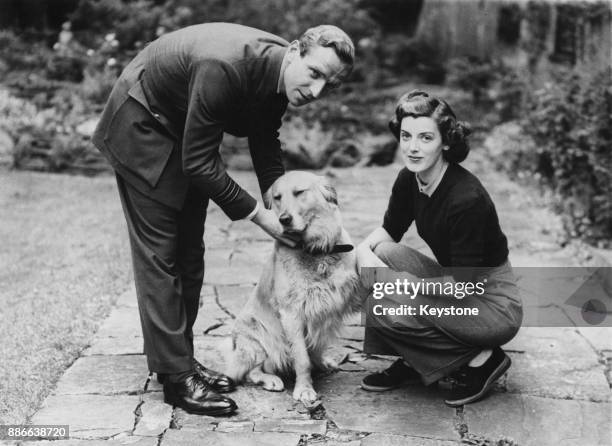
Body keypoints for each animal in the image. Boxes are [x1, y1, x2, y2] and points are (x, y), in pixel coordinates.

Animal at [226, 172, 366, 408]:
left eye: (299, 192)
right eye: (277, 197)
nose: (284, 219)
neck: (317, 251)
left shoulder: (347, 294)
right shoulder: (292, 313)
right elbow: (302, 359)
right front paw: (304, 389)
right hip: (256, 339)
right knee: (251, 371)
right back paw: (270, 379)